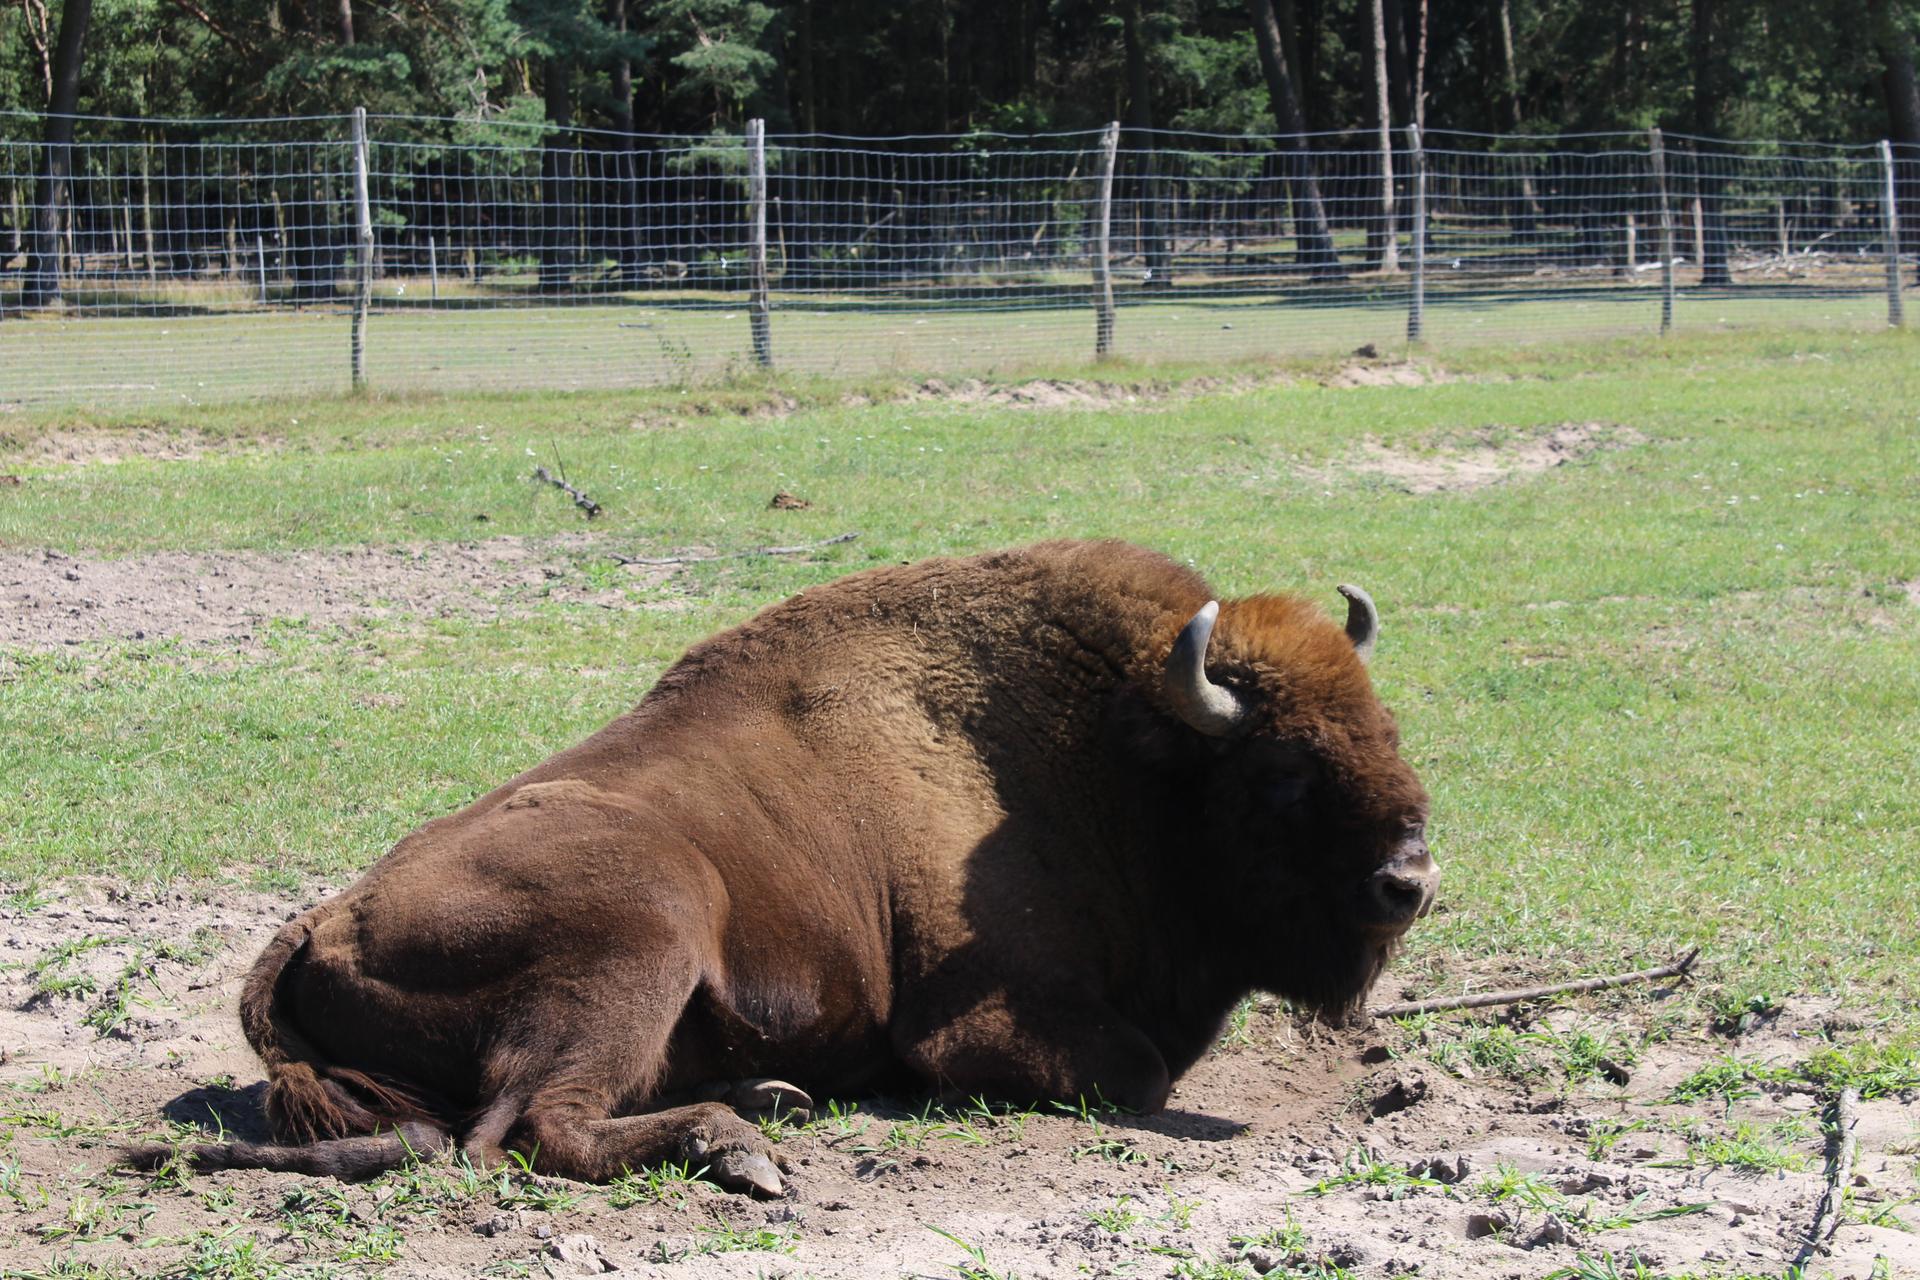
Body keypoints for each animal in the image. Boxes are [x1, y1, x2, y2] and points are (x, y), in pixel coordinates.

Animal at [139, 545, 1428, 1205]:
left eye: (1385, 723)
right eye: (1281, 770)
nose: (1410, 880)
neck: (1115, 750)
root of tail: (322, 920)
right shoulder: (986, 1022)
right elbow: (1141, 1072)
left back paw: (770, 1097)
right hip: (647, 923)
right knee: (524, 1128)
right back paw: (740, 1144)